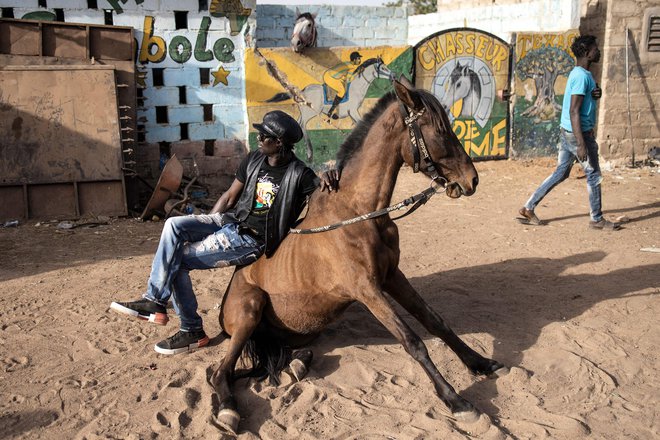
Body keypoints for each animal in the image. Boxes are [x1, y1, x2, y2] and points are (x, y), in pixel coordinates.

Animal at [210, 79, 506, 434]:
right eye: (439, 130)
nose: (471, 179)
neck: (360, 213)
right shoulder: (367, 289)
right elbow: (413, 342)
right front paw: (458, 402)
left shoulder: (392, 277)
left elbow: (436, 322)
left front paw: (481, 363)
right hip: (249, 310)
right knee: (220, 372)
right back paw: (228, 410)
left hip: (300, 331)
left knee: (270, 359)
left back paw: (296, 365)